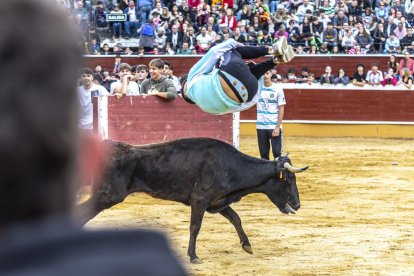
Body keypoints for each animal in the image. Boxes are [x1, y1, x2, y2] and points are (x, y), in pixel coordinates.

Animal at [77, 137, 308, 264]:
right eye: (289, 179)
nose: (297, 205)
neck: (231, 166)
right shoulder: (200, 200)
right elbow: (195, 227)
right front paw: (193, 256)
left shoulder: (217, 202)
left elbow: (236, 218)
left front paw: (247, 245)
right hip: (107, 195)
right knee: (82, 212)